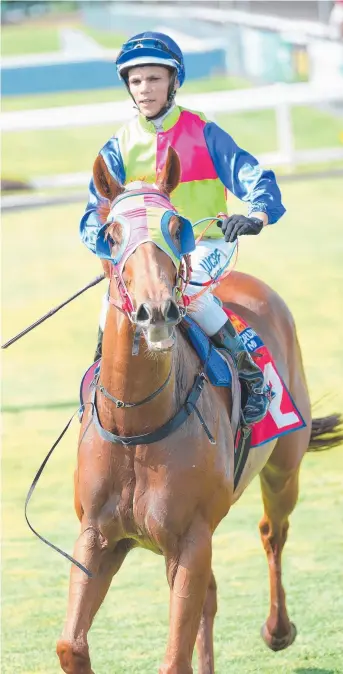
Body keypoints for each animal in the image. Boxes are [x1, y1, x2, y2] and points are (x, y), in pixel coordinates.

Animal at [56, 147, 342, 672]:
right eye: (111, 233)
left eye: (176, 226)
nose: (156, 310)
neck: (137, 424)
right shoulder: (98, 536)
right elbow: (71, 645)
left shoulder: (190, 538)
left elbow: (174, 658)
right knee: (211, 593)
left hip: (283, 470)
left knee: (273, 532)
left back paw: (278, 629)